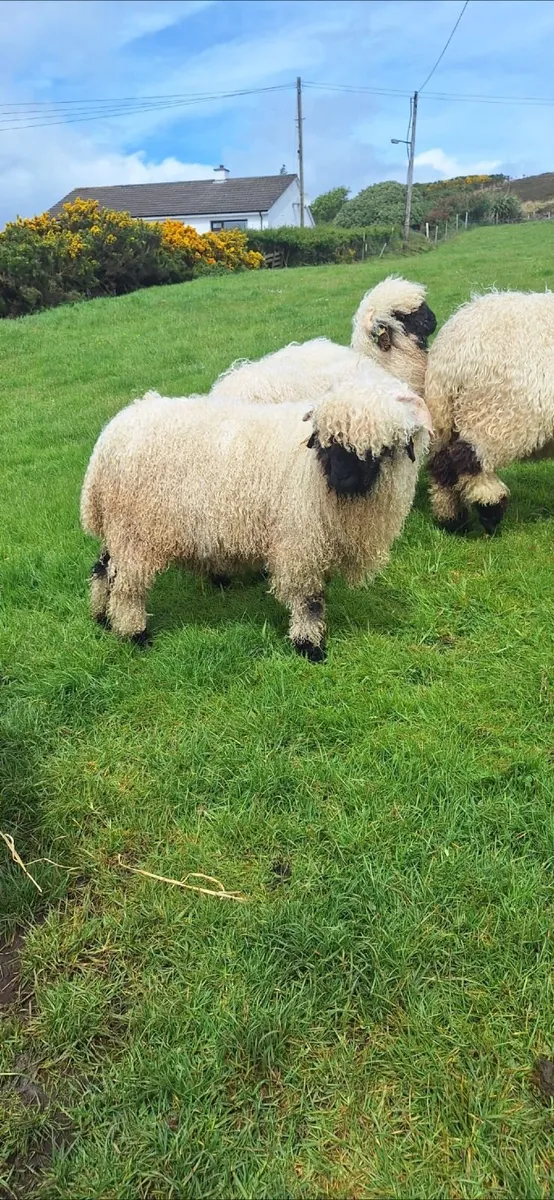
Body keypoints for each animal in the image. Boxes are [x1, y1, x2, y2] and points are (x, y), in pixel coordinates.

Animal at [81, 382, 432, 661]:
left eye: (379, 449)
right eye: (324, 441)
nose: (340, 479)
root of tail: (112, 434)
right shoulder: (300, 542)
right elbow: (309, 599)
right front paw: (310, 645)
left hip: (119, 528)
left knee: (103, 567)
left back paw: (101, 616)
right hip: (136, 532)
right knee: (127, 586)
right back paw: (134, 634)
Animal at [424, 290, 554, 534]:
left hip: (446, 416)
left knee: (440, 464)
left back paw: (452, 520)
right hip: (494, 414)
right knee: (467, 461)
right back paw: (490, 510)